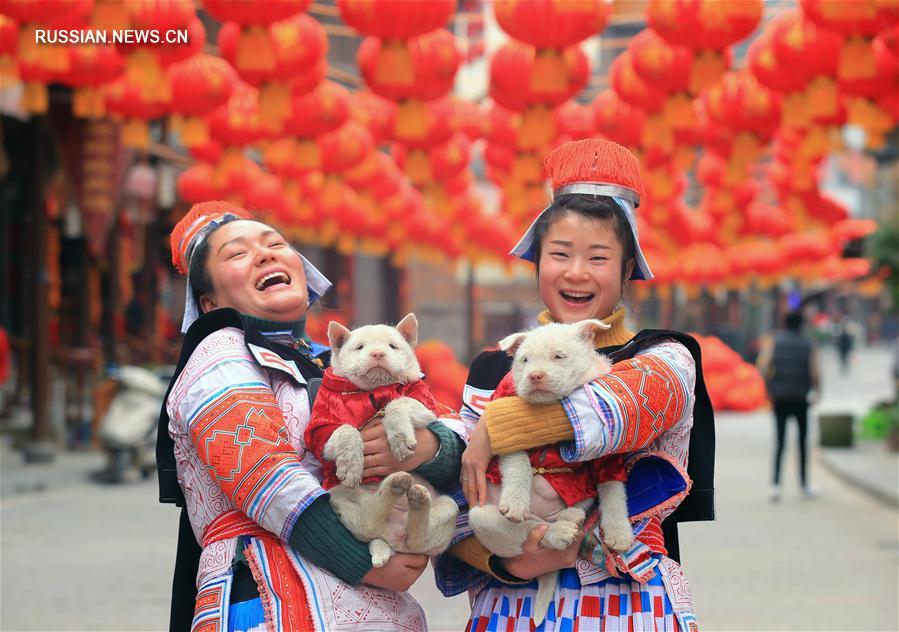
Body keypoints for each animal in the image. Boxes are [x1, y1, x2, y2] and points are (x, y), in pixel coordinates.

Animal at [318, 316, 458, 568]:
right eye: (359, 347)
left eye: (393, 346)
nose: (378, 354)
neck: (375, 388)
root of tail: (392, 537)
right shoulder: (320, 429)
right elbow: (345, 429)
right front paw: (351, 463)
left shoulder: (425, 404)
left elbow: (397, 402)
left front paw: (400, 438)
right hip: (338, 495)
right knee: (368, 522)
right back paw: (395, 486)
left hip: (448, 508)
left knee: (417, 539)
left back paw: (414, 498)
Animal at [472, 320, 632, 628]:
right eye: (524, 360)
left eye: (559, 356)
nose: (535, 376)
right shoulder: (508, 435)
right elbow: (519, 464)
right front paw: (515, 503)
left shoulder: (609, 452)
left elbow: (613, 489)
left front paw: (619, 532)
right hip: (483, 519)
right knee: (532, 532)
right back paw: (557, 531)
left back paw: (570, 517)